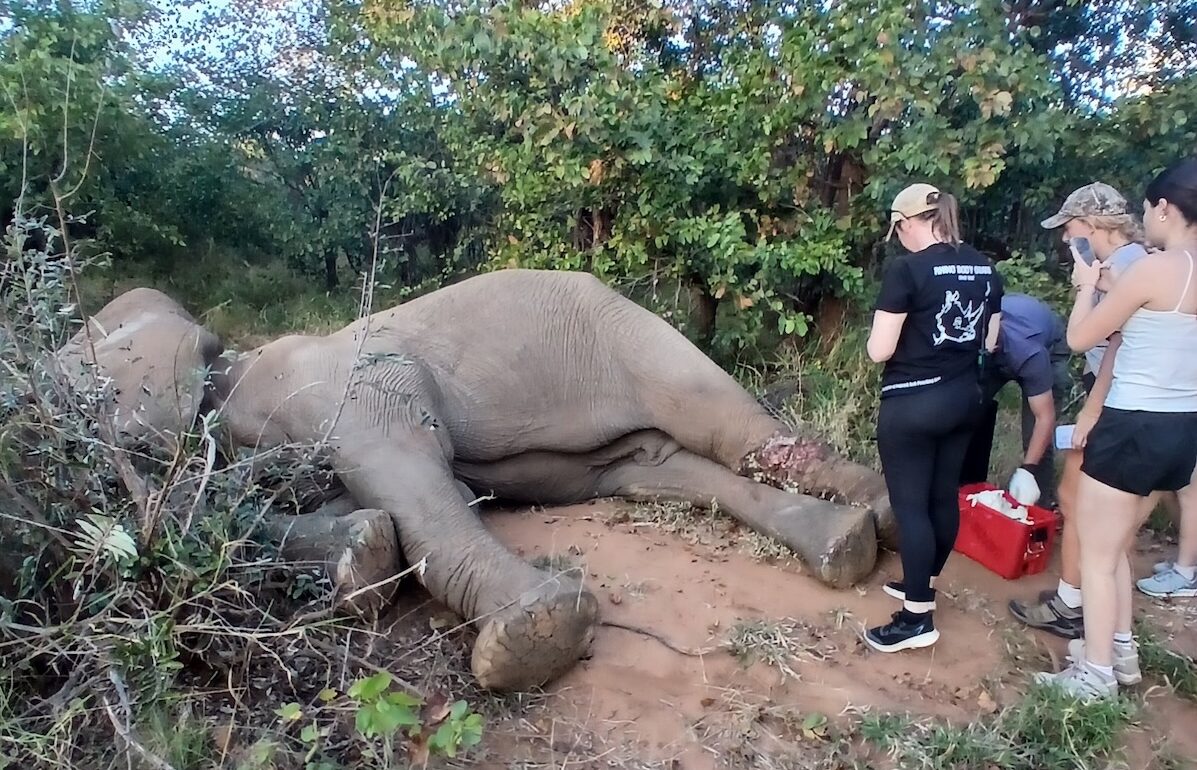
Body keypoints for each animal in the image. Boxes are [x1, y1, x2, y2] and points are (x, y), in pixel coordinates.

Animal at [52, 268, 896, 692]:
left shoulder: (347, 384)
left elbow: (412, 472)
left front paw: (535, 638)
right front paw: (357, 559)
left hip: (634, 337)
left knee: (724, 422)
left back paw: (880, 516)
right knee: (662, 469)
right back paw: (845, 546)